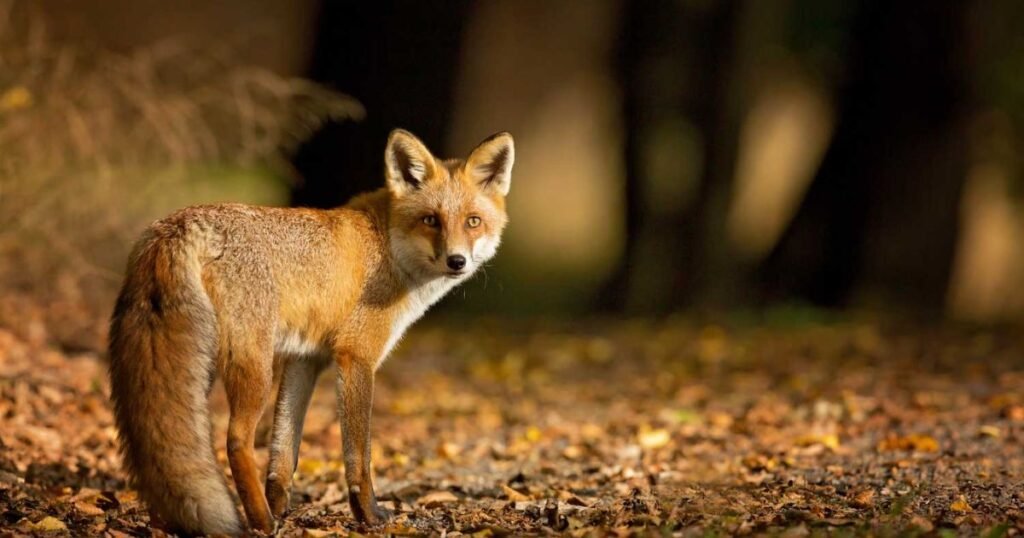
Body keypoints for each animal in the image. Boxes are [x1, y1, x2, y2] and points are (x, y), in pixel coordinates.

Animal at [108, 129, 514, 535]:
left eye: (473, 221)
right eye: (431, 220)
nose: (457, 261)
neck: (386, 247)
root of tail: (178, 224)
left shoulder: (305, 358)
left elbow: (284, 450)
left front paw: (281, 504)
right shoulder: (355, 356)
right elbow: (358, 454)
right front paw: (368, 514)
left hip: (199, 365)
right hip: (252, 368)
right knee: (236, 441)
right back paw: (260, 521)